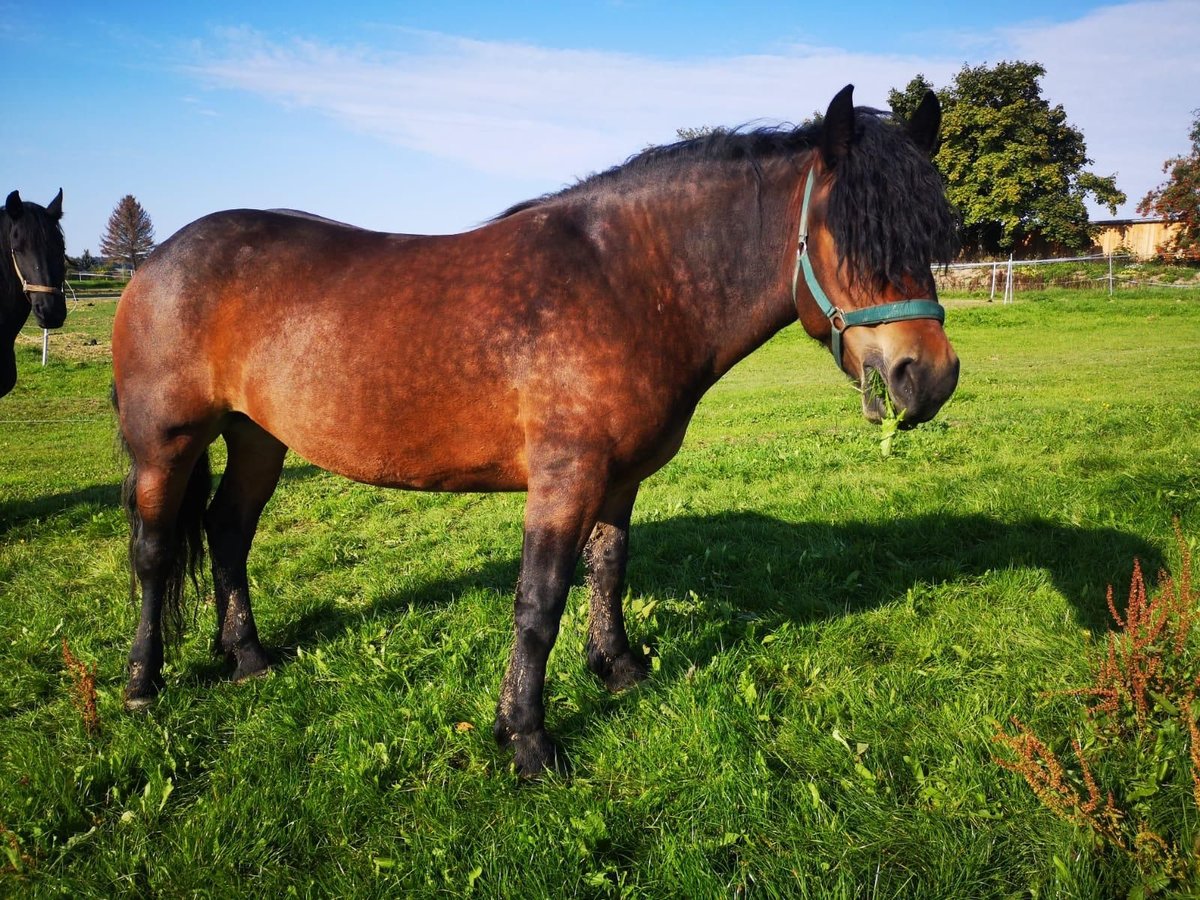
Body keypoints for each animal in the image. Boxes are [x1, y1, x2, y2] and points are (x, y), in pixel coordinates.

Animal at [112, 86, 955, 777]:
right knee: (153, 552)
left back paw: (248, 656)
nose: (930, 376)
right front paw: (526, 739)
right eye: (853, 234)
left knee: (228, 530)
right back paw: (142, 682)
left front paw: (618, 670)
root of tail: (157, 262)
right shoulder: (565, 477)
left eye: (932, 235)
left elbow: (607, 571)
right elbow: (539, 602)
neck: (628, 283)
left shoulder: (618, 478)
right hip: (168, 443)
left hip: (258, 436)